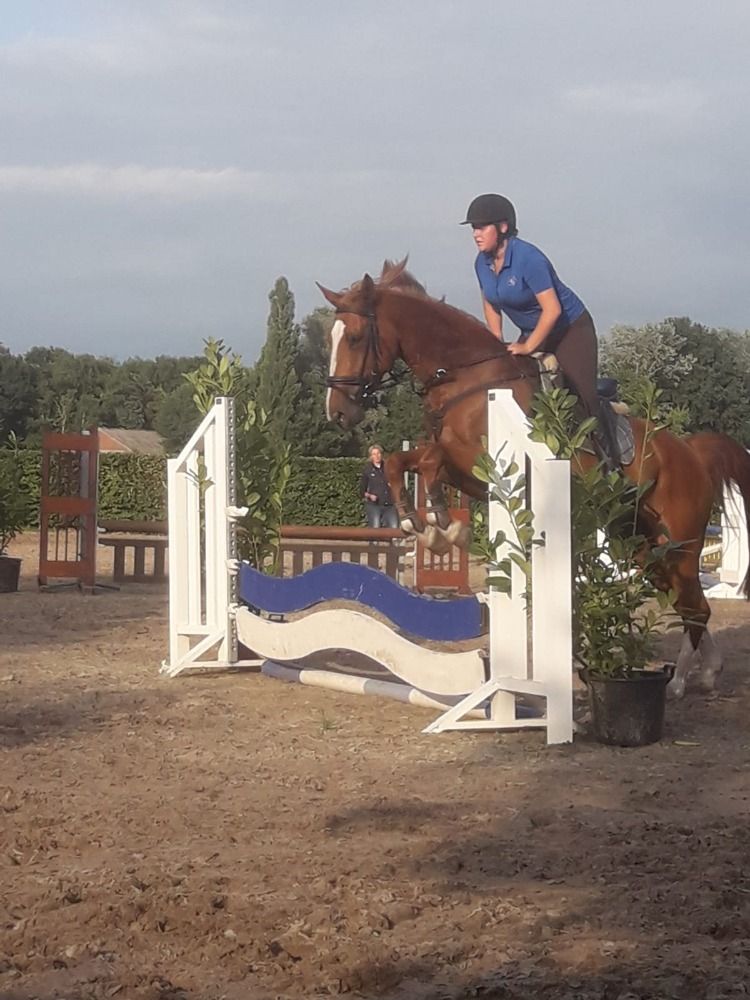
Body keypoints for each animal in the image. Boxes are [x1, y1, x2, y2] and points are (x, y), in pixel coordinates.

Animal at [318, 257, 750, 699]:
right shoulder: (467, 473)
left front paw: (441, 525)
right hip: (642, 545)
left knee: (695, 605)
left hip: (679, 542)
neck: (464, 379)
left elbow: (430, 461)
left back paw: (678, 682)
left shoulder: (485, 462)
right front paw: (419, 522)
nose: (337, 412)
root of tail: (689, 450)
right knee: (685, 601)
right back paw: (708, 670)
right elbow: (400, 462)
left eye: (355, 337)